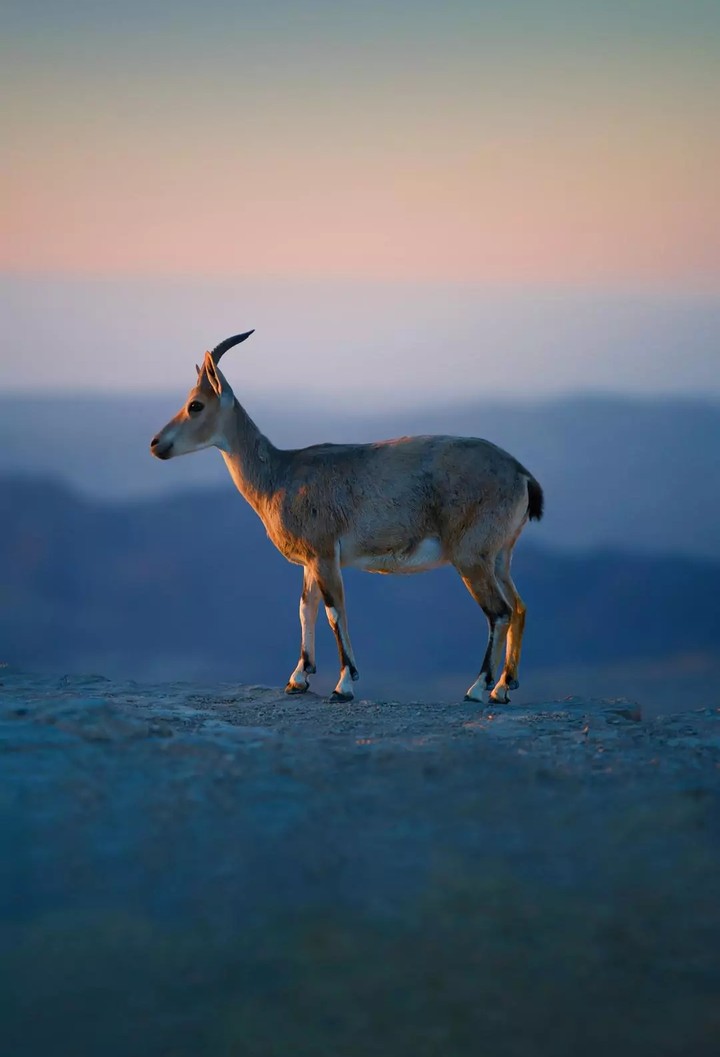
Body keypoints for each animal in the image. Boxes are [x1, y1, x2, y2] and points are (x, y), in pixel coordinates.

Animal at [150, 331, 544, 704]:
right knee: (519, 606)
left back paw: (478, 688)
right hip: (499, 555)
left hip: (470, 555)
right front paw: (298, 679)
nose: (156, 444)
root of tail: (521, 473)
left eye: (195, 405)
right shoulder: (310, 560)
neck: (279, 476)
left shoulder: (325, 553)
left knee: (499, 612)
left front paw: (343, 685)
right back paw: (503, 688)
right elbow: (305, 608)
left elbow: (333, 611)